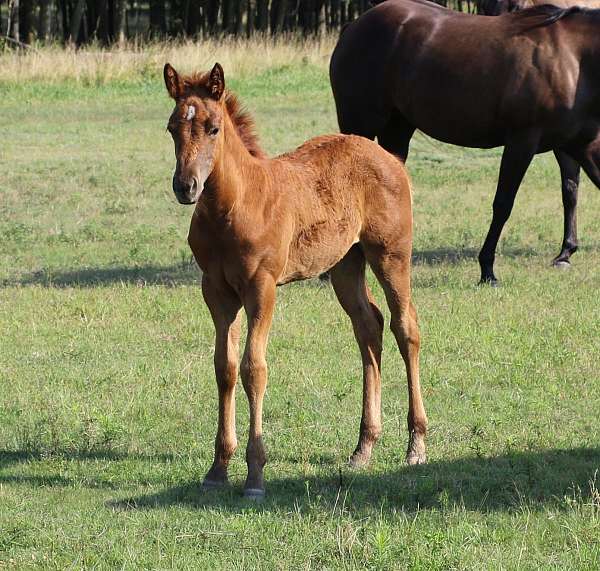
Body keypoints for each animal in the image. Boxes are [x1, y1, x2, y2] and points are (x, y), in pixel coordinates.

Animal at [164, 63, 426, 500]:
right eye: (171, 128)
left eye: (213, 128)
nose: (186, 187)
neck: (235, 205)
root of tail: (389, 157)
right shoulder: (216, 291)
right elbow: (224, 367)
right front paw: (218, 468)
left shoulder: (262, 288)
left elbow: (254, 368)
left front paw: (255, 475)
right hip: (345, 263)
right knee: (369, 326)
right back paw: (363, 447)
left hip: (390, 254)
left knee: (405, 327)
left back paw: (416, 445)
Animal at [330, 0, 600, 284]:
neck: (573, 60)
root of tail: (354, 26)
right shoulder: (522, 142)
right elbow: (503, 204)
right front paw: (487, 270)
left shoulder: (580, 144)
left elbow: (573, 189)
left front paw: (565, 254)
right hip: (359, 125)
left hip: (397, 130)